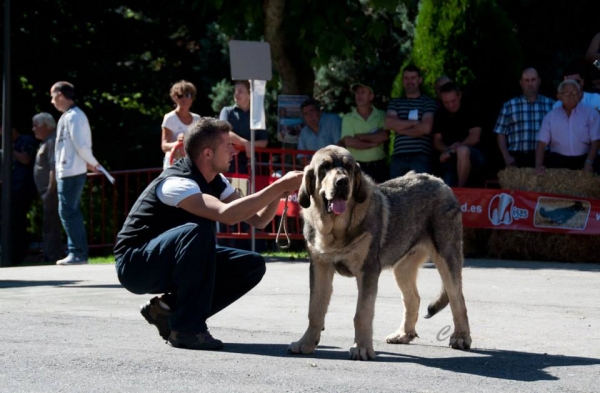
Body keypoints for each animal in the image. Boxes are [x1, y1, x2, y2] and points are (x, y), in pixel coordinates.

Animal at [288, 145, 472, 358]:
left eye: (348, 167)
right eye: (324, 167)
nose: (342, 181)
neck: (335, 230)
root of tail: (440, 182)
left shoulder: (367, 271)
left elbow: (362, 313)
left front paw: (362, 348)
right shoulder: (320, 268)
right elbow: (315, 310)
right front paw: (305, 344)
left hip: (446, 256)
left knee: (457, 299)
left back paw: (461, 338)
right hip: (402, 268)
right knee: (413, 299)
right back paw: (403, 334)